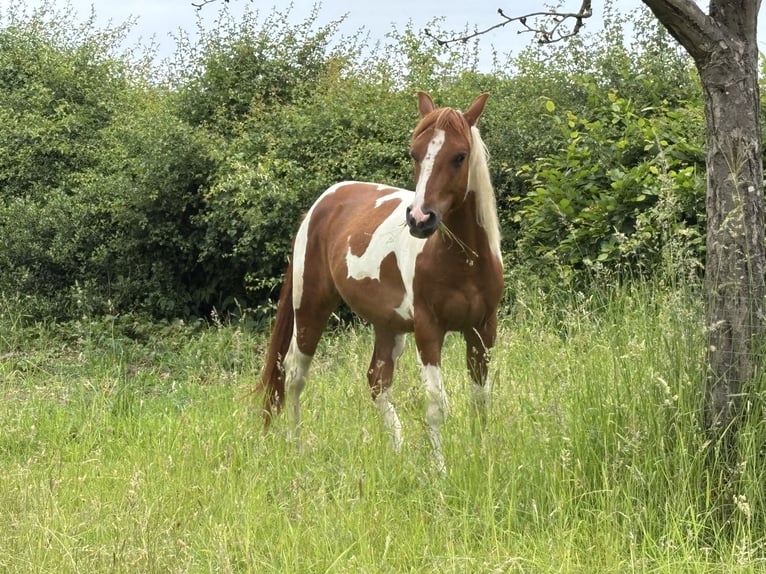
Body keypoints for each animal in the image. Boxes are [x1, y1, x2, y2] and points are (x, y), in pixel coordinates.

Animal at [256, 91, 503, 471]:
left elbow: (480, 400)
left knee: (377, 381)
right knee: (295, 374)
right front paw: (441, 472)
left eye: (460, 156)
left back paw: (397, 453)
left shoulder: (483, 329)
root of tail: (323, 202)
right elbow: (437, 406)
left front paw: (482, 458)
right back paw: (297, 450)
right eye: (414, 152)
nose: (420, 219)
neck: (462, 261)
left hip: (388, 325)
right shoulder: (429, 330)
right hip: (310, 308)